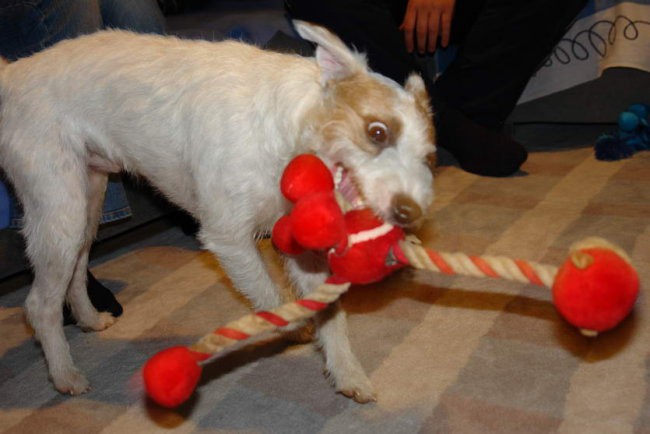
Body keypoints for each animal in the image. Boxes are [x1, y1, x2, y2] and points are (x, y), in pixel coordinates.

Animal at [1, 19, 436, 400]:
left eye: (428, 158)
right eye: (377, 132)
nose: (409, 214)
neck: (285, 133)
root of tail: (15, 72)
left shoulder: (303, 245)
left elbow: (331, 314)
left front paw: (348, 374)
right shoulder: (228, 238)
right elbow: (272, 296)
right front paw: (293, 327)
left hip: (87, 202)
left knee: (75, 271)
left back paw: (90, 319)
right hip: (58, 207)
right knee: (39, 305)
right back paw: (65, 375)